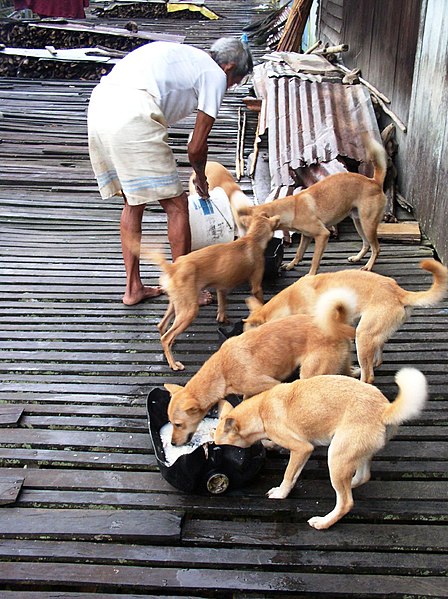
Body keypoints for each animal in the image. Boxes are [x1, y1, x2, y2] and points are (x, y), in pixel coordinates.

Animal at [143, 211, 280, 370]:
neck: (252, 238)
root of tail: (173, 267)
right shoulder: (256, 285)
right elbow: (260, 302)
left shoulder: (221, 288)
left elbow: (222, 307)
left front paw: (223, 319)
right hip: (189, 310)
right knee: (166, 337)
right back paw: (174, 363)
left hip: (177, 304)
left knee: (162, 326)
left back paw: (169, 349)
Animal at [164, 288, 356, 448]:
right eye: (171, 423)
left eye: (178, 424)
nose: (172, 443)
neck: (223, 371)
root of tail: (339, 327)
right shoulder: (248, 391)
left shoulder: (273, 384)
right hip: (341, 368)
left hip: (309, 375)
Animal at [215, 370, 428, 528]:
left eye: (219, 445)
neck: (260, 410)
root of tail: (384, 409)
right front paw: (268, 445)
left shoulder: (302, 449)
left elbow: (288, 475)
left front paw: (281, 493)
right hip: (354, 454)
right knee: (362, 477)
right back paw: (350, 484)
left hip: (336, 455)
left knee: (346, 503)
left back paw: (323, 522)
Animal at [236, 135, 386, 274]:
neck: (292, 208)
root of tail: (374, 182)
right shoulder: (306, 236)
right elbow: (299, 252)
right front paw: (290, 265)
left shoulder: (322, 235)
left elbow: (314, 259)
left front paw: (310, 275)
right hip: (359, 222)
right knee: (366, 244)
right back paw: (357, 258)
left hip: (368, 224)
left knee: (376, 248)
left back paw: (368, 266)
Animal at [245, 262, 448, 384]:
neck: (289, 301)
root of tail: (398, 291)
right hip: (369, 335)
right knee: (377, 358)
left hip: (362, 336)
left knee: (368, 376)